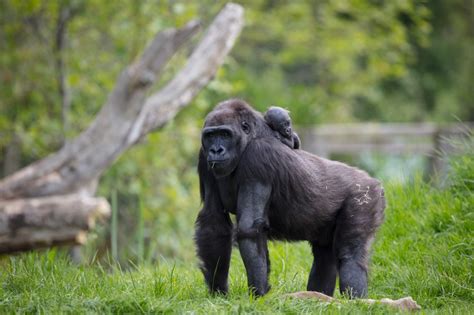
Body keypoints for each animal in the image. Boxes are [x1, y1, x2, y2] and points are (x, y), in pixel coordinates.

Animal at [194, 99, 384, 298]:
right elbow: (213, 222)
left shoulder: (258, 156)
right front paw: (218, 292)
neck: (251, 137)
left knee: (351, 256)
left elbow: (249, 228)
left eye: (225, 134)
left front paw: (259, 294)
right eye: (211, 135)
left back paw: (356, 300)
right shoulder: (203, 157)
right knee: (324, 257)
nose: (216, 150)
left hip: (365, 196)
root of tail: (372, 180)